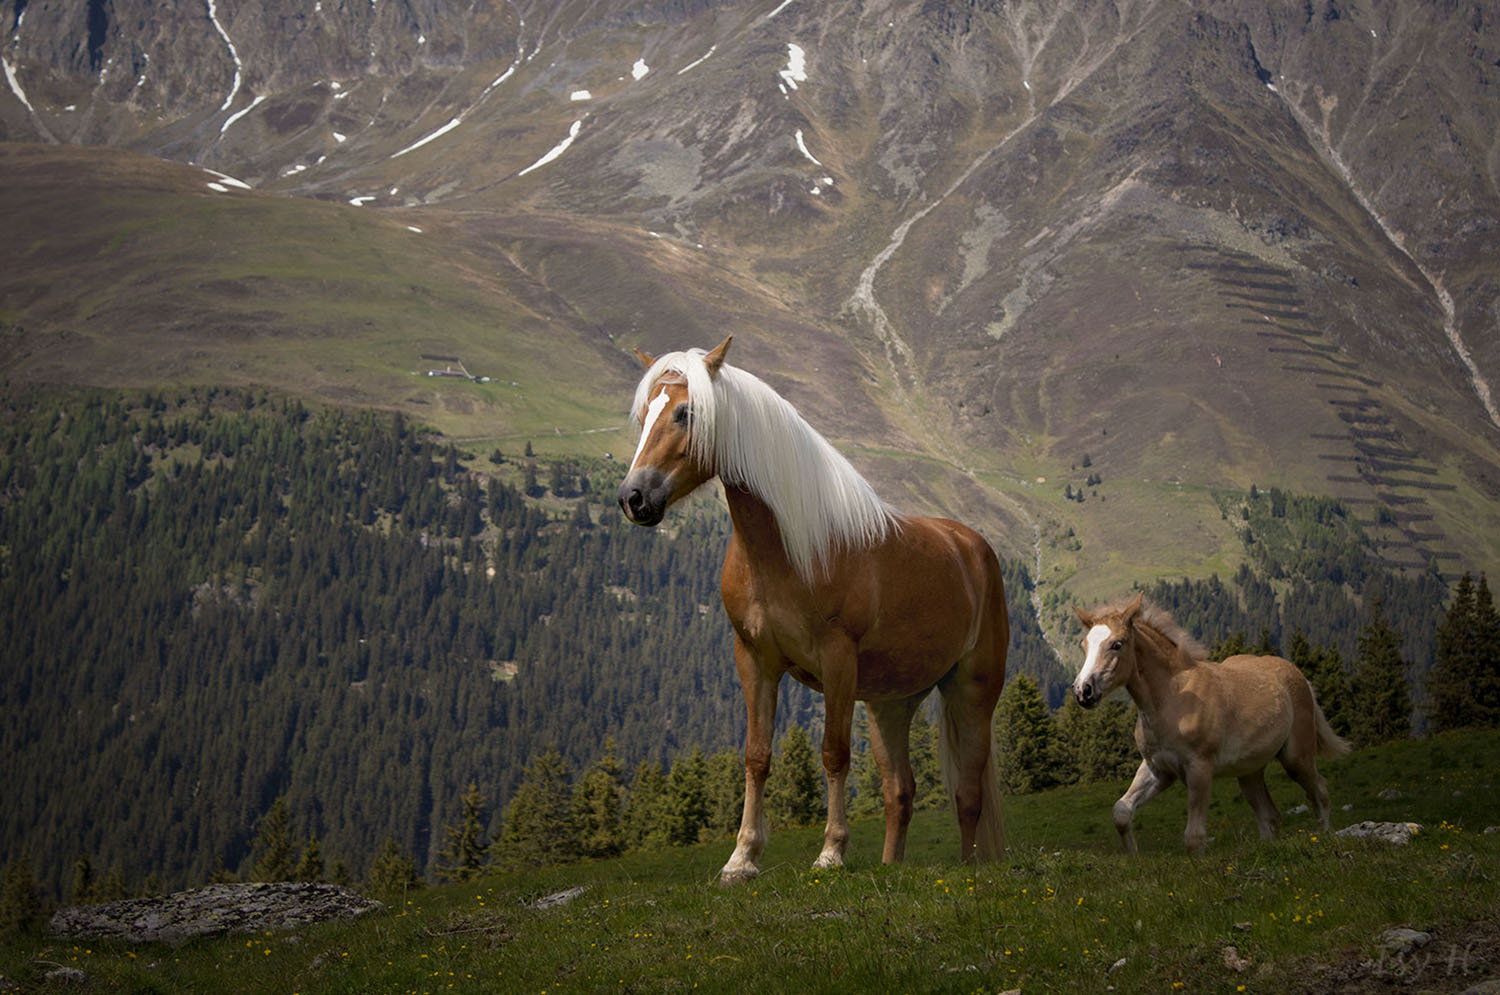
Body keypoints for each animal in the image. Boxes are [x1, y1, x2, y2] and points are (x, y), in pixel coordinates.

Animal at [615, 339, 1014, 882]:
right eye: (644, 416)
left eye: (685, 412)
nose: (634, 498)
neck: (786, 548)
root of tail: (972, 547)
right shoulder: (754, 660)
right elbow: (757, 756)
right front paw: (742, 859)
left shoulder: (837, 661)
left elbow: (833, 754)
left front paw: (831, 853)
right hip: (890, 705)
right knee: (900, 792)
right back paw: (889, 866)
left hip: (971, 691)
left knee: (968, 791)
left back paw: (970, 867)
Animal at [1074, 591, 1356, 858]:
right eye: (1084, 645)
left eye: (1117, 644)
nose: (1083, 691)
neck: (1170, 700)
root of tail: (1300, 677)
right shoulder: (1158, 769)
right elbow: (1121, 812)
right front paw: (1135, 859)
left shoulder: (1199, 768)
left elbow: (1194, 839)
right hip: (1249, 771)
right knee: (1269, 815)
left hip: (1296, 758)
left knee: (1319, 790)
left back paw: (1325, 838)